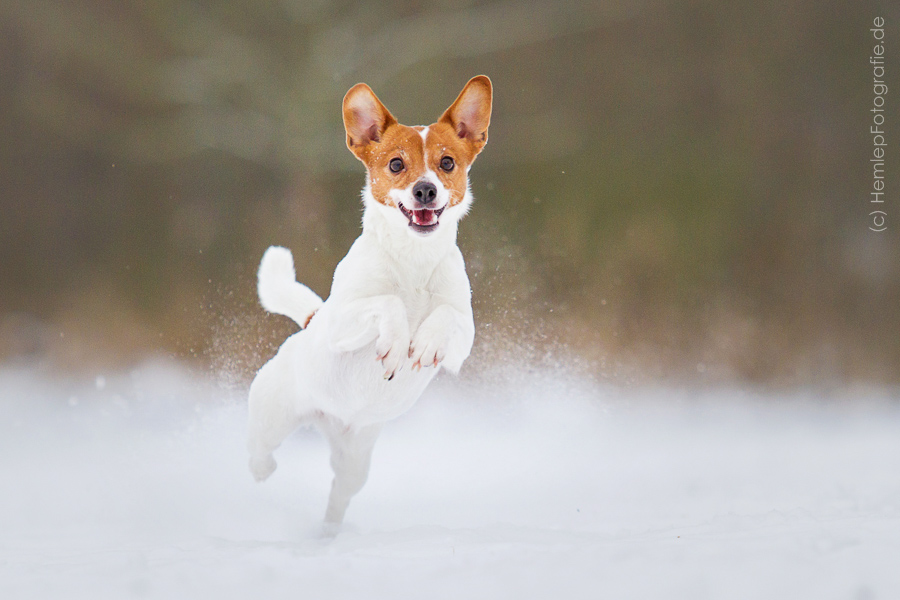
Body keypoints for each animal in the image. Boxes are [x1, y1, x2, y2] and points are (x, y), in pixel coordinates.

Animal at [246, 75, 492, 524]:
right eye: (396, 164)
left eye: (447, 163)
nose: (425, 189)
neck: (413, 260)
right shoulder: (341, 321)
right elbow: (387, 305)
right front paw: (396, 343)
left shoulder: (462, 341)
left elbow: (446, 317)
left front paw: (422, 342)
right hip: (271, 414)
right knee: (258, 454)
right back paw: (264, 471)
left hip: (356, 461)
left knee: (339, 494)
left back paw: (329, 529)